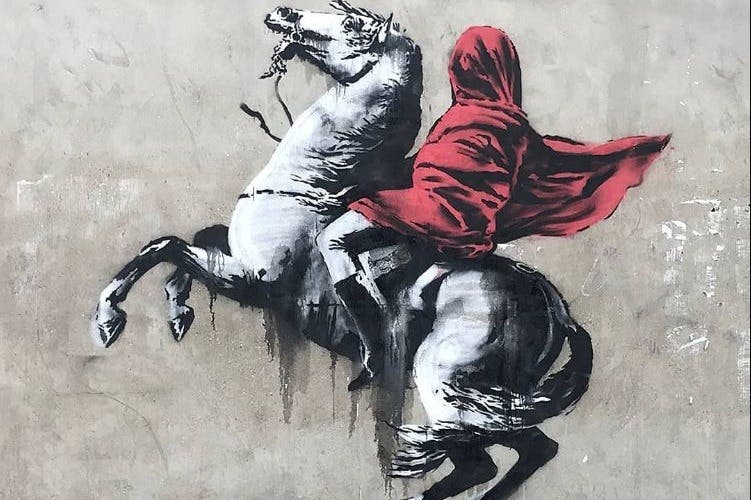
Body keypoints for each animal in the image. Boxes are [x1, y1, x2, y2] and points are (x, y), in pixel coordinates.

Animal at [92, 2, 593, 499]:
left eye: (352, 22)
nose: (282, 12)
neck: (307, 187)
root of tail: (554, 306)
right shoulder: (236, 260)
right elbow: (197, 238)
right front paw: (179, 313)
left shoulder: (250, 279)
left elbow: (166, 246)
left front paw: (108, 319)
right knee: (521, 451)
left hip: (443, 380)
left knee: (485, 454)